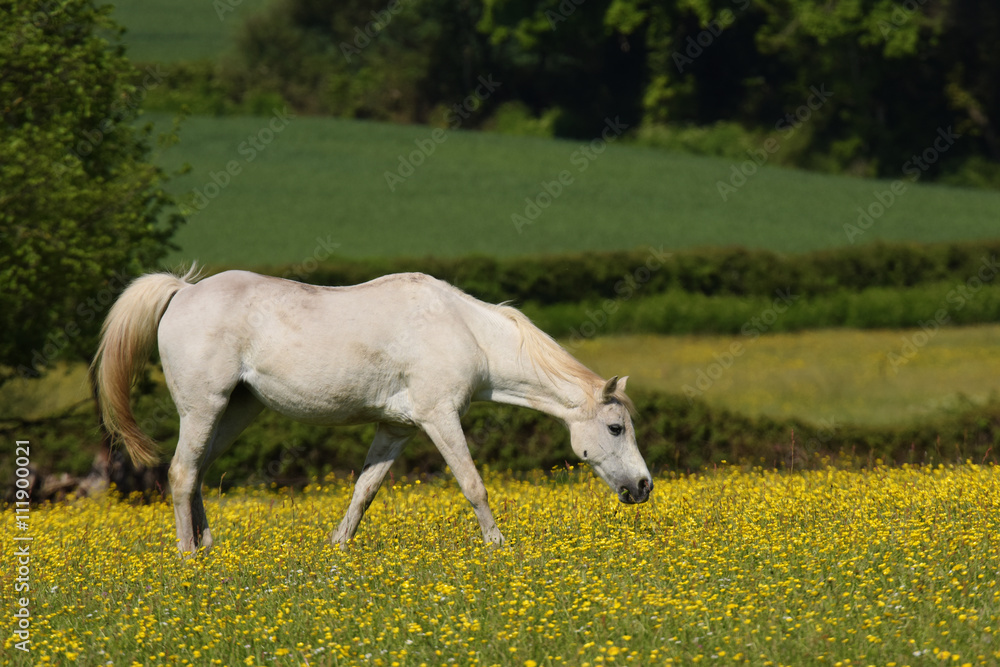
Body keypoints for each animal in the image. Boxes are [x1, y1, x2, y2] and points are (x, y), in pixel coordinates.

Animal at [91, 268, 653, 555]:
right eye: (615, 427)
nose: (645, 486)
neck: (465, 330)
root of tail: (183, 291)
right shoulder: (439, 418)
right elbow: (473, 484)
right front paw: (499, 550)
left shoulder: (396, 429)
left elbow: (364, 491)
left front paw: (337, 551)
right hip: (203, 408)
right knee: (182, 474)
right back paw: (189, 558)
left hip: (234, 412)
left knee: (199, 473)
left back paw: (209, 549)